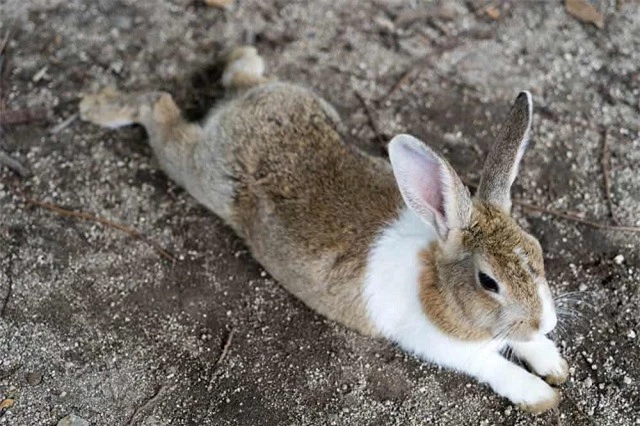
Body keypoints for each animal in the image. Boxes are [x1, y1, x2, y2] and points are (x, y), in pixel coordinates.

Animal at [79, 45, 564, 412]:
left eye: (536, 252)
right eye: (488, 281)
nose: (544, 321)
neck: (441, 285)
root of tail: (242, 108)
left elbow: (525, 346)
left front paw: (553, 363)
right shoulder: (444, 347)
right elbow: (493, 366)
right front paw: (541, 395)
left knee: (237, 77)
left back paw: (244, 55)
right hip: (201, 174)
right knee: (159, 106)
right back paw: (96, 107)